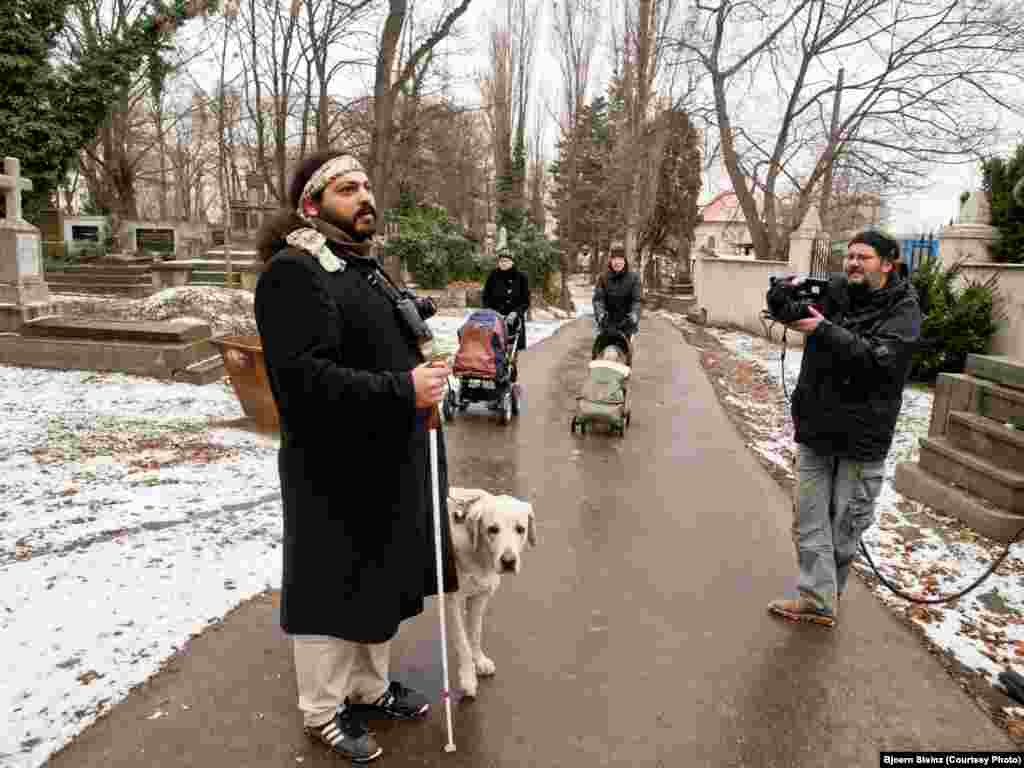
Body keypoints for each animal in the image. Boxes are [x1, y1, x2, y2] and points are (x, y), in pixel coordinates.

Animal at [446, 489, 536, 700]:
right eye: (492, 529)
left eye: (520, 529)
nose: (508, 561)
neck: (480, 556)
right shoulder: (454, 602)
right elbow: (462, 642)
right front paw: (468, 678)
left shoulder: (480, 597)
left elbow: (475, 632)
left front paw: (479, 660)